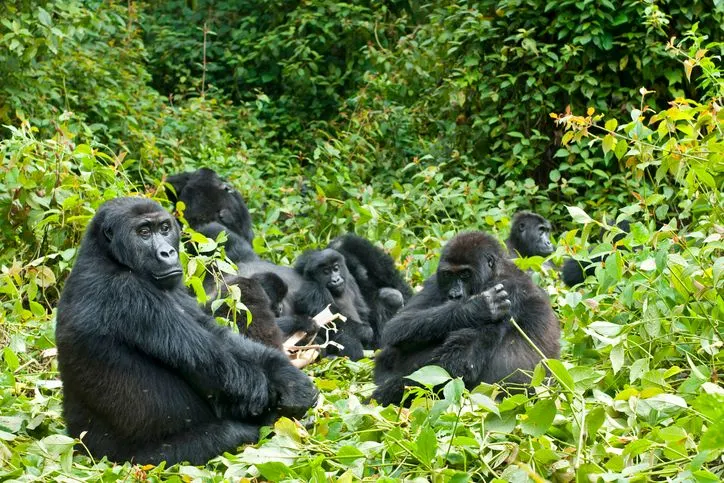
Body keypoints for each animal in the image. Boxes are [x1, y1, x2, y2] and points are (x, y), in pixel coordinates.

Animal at [55, 197, 316, 466]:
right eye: (144, 232)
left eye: (164, 229)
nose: (168, 253)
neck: (107, 256)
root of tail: (79, 443)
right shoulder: (126, 292)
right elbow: (224, 370)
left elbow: (219, 335)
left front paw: (289, 378)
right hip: (136, 458)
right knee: (229, 434)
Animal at [374, 233, 560, 406]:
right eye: (448, 275)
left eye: (465, 274)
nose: (454, 295)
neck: (495, 272)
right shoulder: (434, 282)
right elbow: (398, 324)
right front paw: (478, 307)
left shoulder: (509, 288)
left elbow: (455, 364)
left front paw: (379, 397)